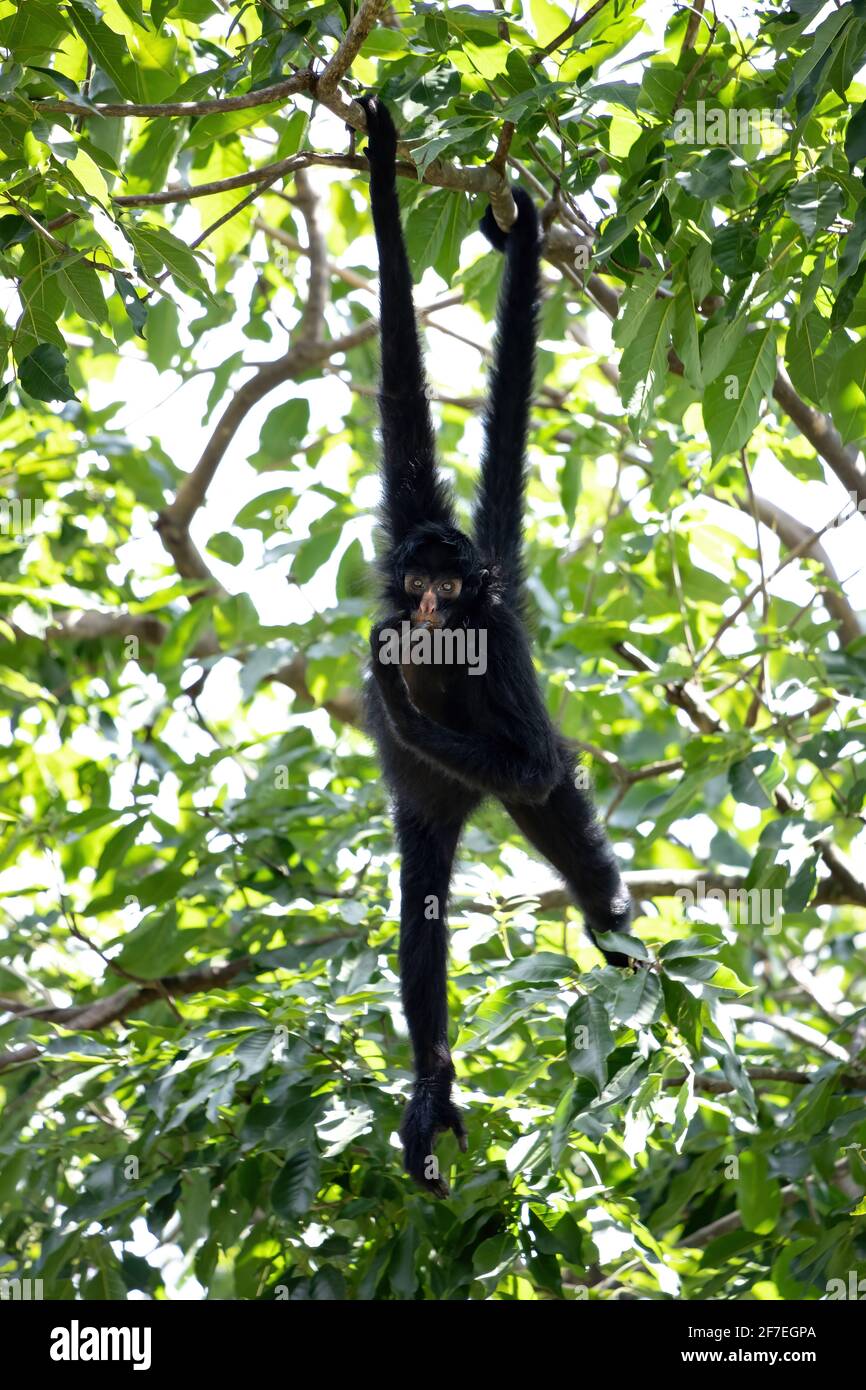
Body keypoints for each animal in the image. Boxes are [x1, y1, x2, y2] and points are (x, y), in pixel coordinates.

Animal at [355, 95, 633, 1195]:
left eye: (448, 585)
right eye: (416, 579)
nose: (429, 609)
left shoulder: (501, 638)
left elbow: (534, 762)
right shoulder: (406, 520)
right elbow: (401, 393)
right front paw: (380, 159)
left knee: (574, 848)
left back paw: (621, 942)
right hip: (427, 817)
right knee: (421, 917)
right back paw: (432, 1081)